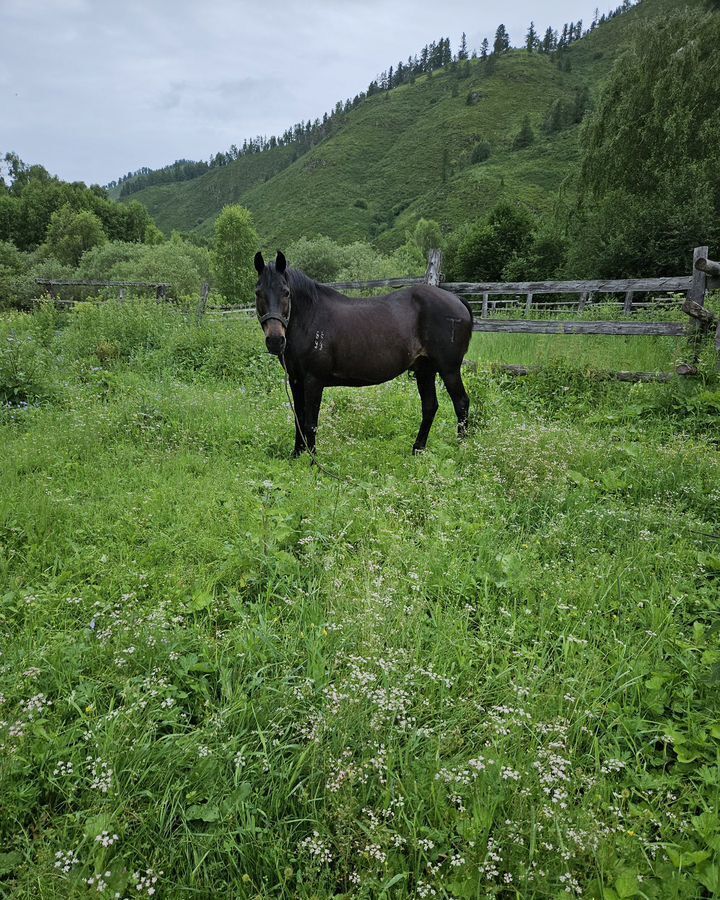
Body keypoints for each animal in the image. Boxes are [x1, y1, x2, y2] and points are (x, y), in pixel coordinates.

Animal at [253, 250, 472, 454]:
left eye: (286, 292)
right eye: (258, 292)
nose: (275, 340)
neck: (310, 318)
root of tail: (457, 299)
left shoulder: (313, 380)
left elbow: (310, 423)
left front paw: (312, 459)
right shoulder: (295, 380)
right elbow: (299, 418)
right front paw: (297, 454)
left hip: (449, 369)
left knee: (461, 403)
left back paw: (462, 448)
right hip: (425, 369)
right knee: (429, 406)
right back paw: (417, 449)